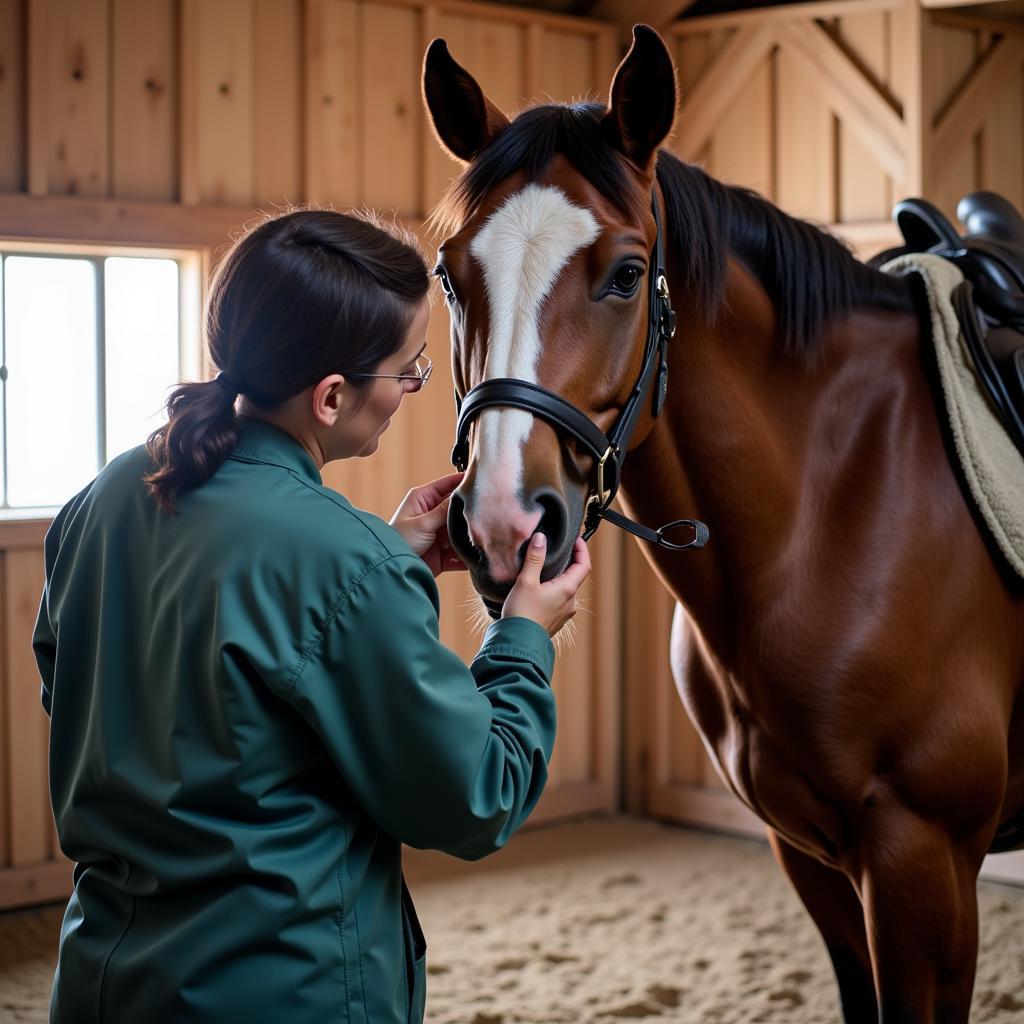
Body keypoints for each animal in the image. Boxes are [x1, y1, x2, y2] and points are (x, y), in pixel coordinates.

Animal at [419, 24, 1024, 1024]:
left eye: (628, 276)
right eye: (451, 277)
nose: (504, 523)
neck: (828, 512)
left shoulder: (926, 863)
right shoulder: (813, 857)